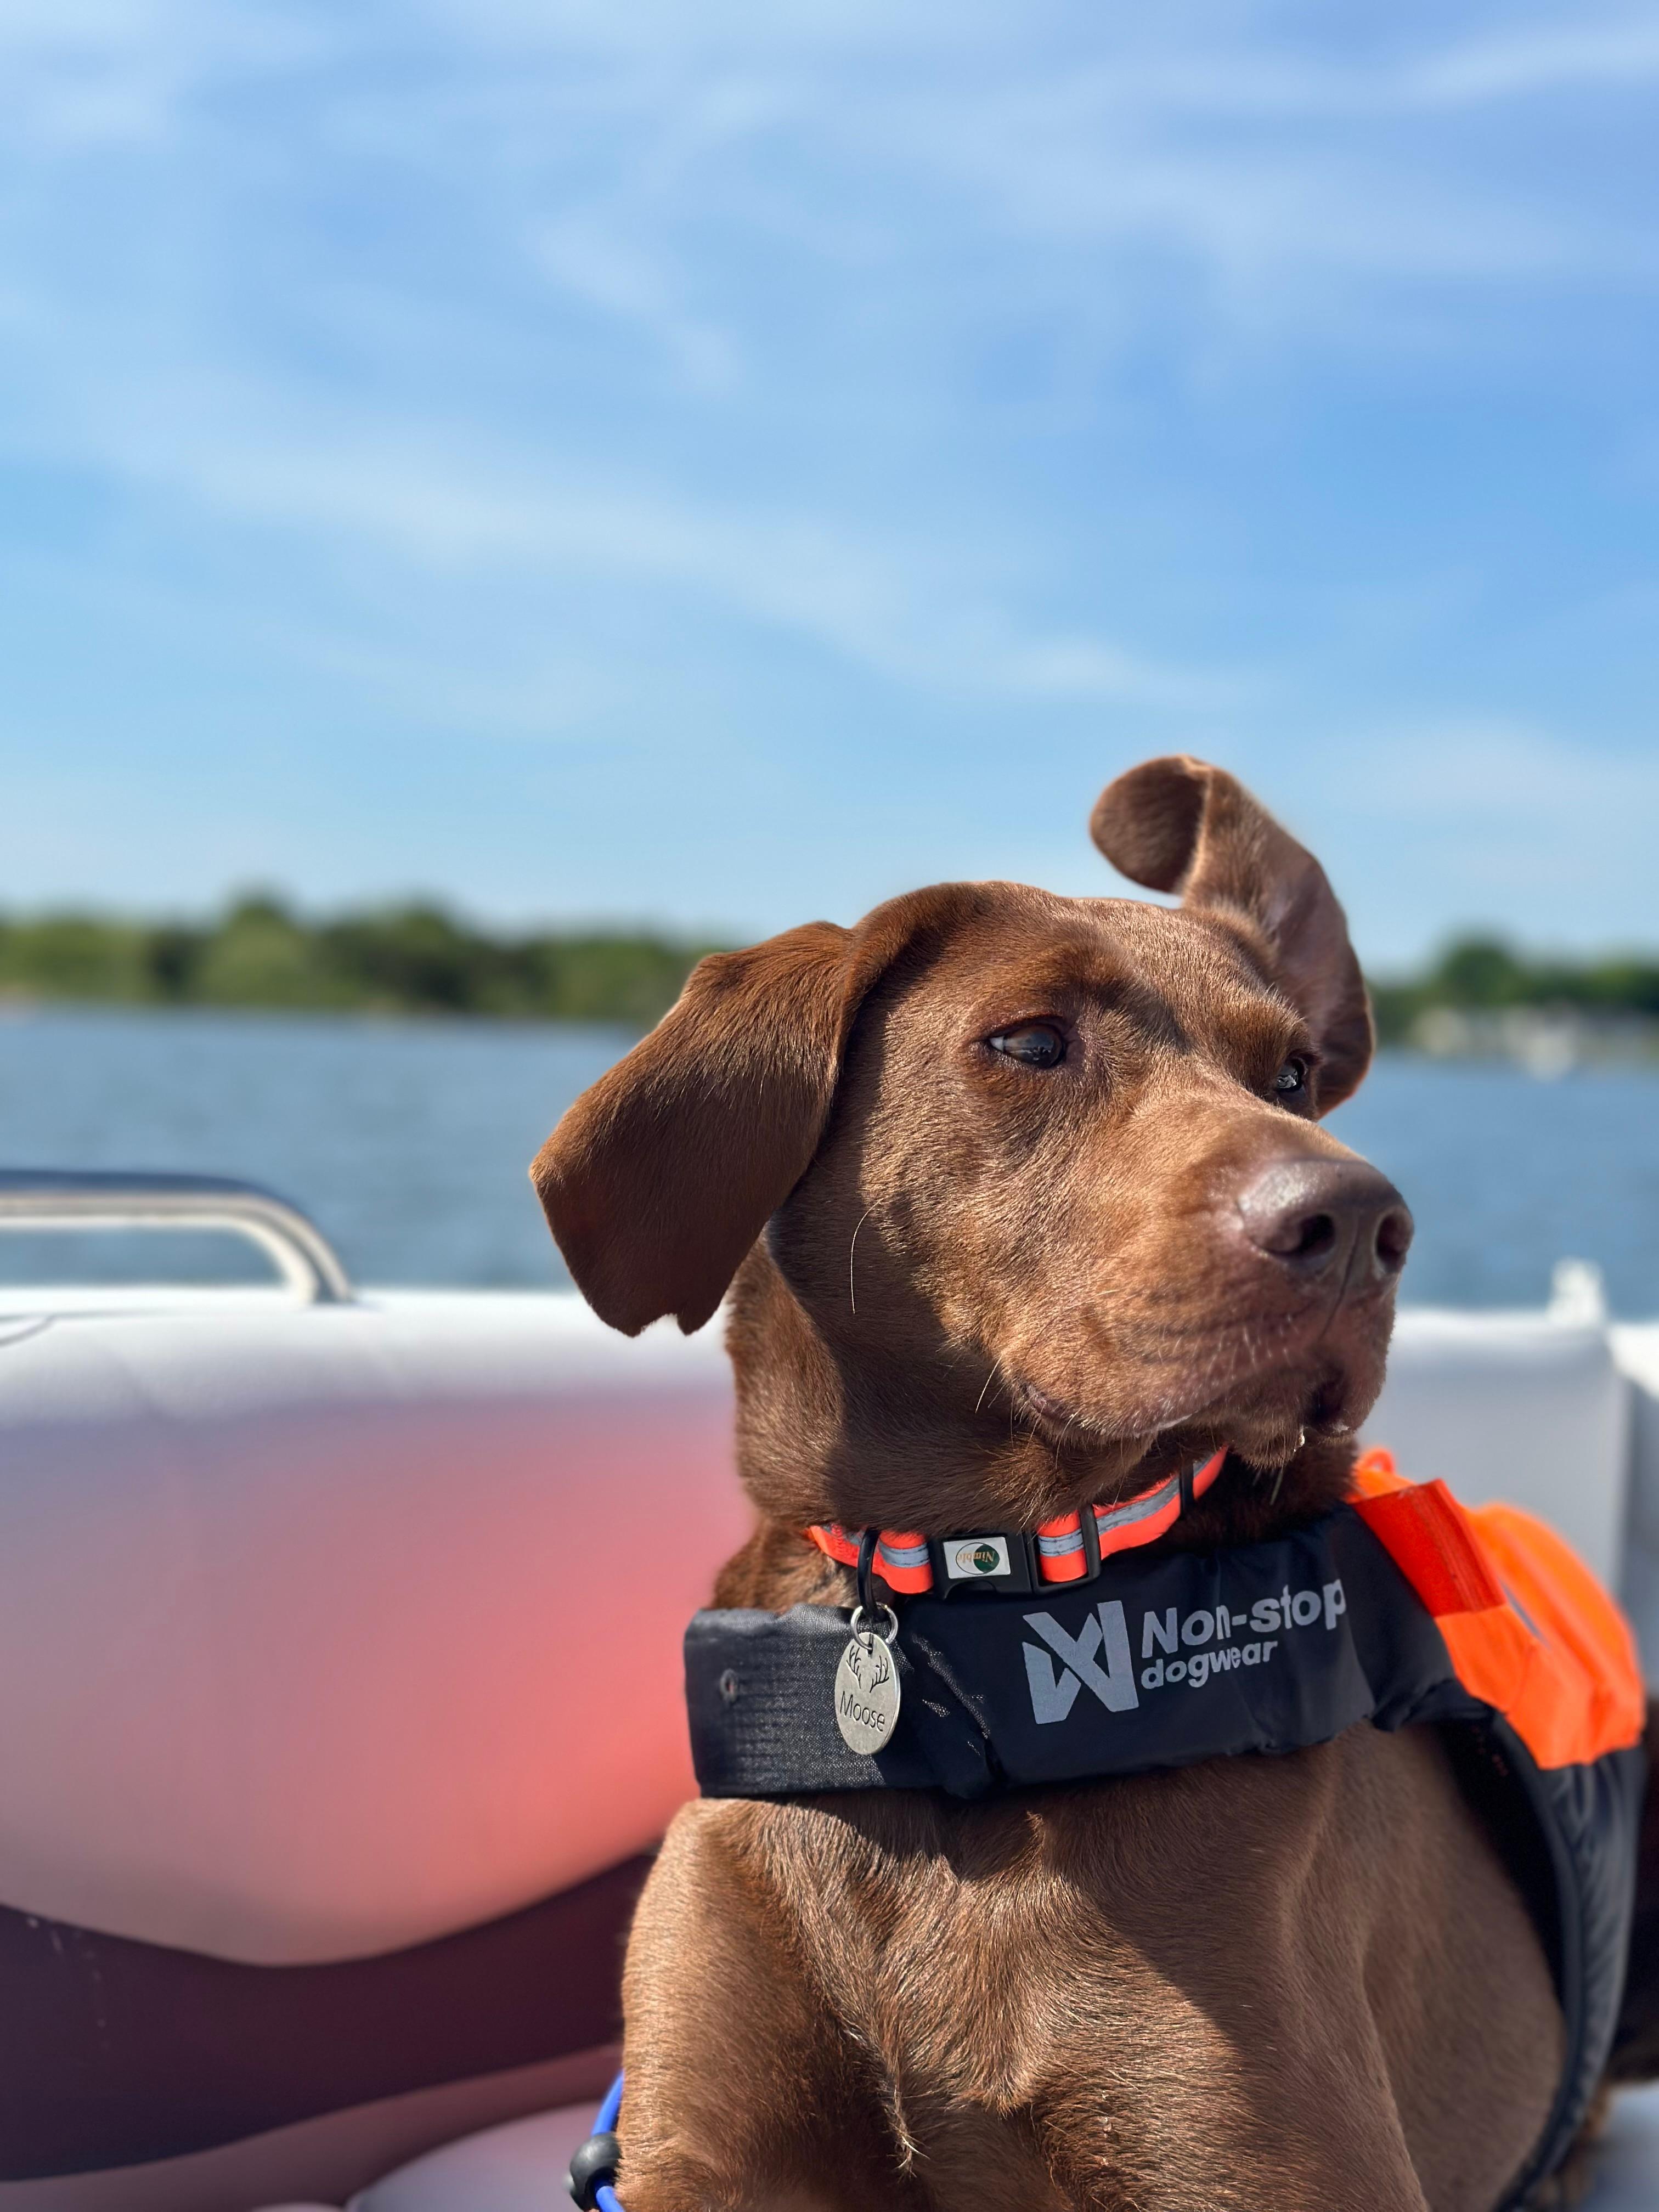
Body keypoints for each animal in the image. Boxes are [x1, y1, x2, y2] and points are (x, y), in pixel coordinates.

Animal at [539, 761, 1654, 2212]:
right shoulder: (694, 2150)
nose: (1360, 1225)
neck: (986, 1634)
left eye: (1293, 1072)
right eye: (1028, 1043)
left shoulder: (1264, 2159)